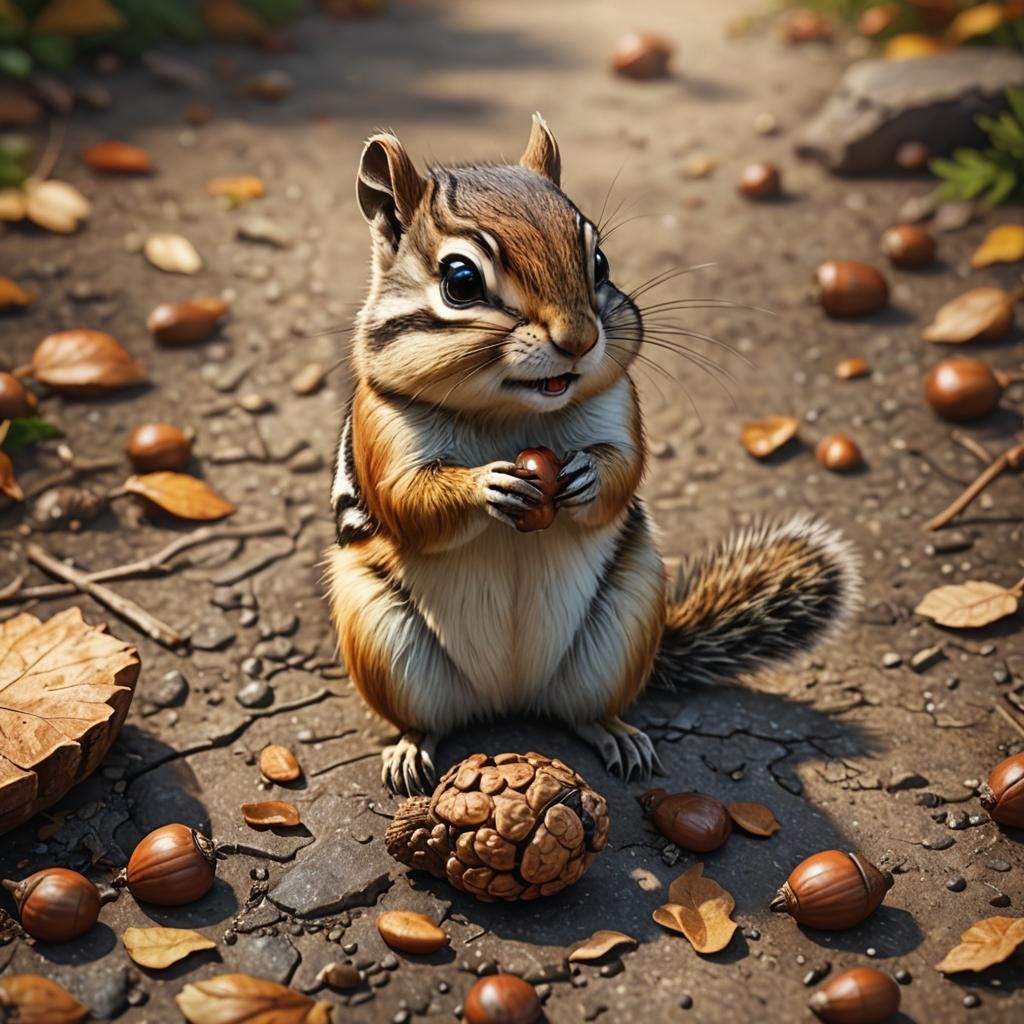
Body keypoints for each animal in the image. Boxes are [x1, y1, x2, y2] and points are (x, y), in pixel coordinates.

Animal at [327, 114, 861, 796]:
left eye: (600, 261)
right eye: (460, 280)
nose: (580, 339)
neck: (509, 414)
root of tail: (509, 698)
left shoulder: (619, 406)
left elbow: (624, 471)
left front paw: (584, 476)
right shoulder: (383, 428)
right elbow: (407, 503)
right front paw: (485, 487)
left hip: (625, 620)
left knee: (584, 712)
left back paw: (618, 736)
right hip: (382, 639)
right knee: (424, 720)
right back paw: (409, 748)